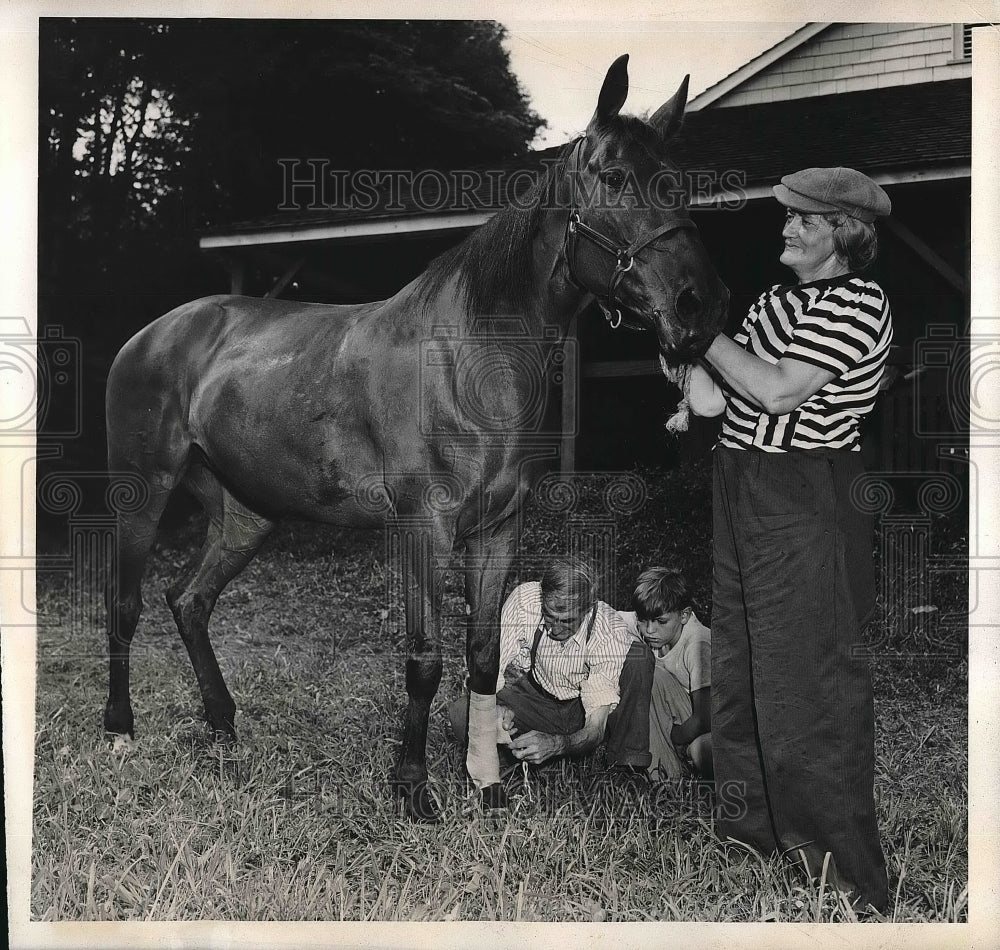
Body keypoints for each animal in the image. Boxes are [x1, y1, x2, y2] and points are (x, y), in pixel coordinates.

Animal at [103, 55, 728, 820]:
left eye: (678, 180)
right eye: (614, 177)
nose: (700, 308)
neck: (469, 359)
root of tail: (153, 333)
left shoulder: (497, 529)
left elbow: (483, 656)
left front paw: (485, 781)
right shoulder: (423, 526)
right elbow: (425, 658)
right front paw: (412, 786)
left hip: (248, 515)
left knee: (189, 602)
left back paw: (222, 723)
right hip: (143, 491)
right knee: (127, 604)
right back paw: (120, 729)